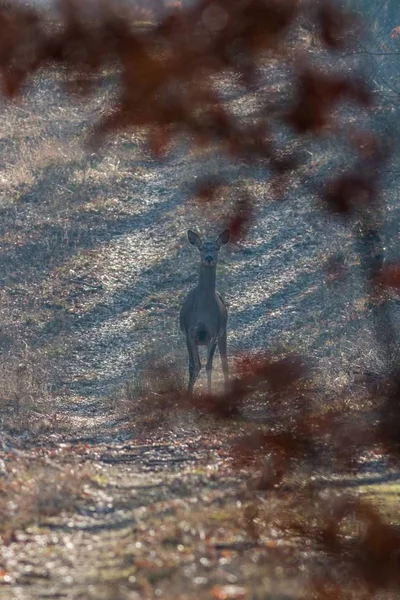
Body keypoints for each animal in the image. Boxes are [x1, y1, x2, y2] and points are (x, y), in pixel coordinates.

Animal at [180, 229, 230, 394]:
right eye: (201, 248)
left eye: (217, 248)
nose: (209, 257)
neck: (202, 314)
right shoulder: (189, 333)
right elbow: (193, 366)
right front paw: (188, 394)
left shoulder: (213, 333)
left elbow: (209, 366)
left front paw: (209, 393)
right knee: (198, 364)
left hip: (223, 333)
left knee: (224, 363)